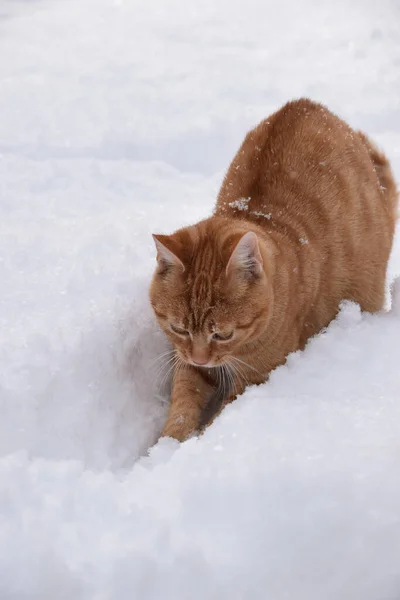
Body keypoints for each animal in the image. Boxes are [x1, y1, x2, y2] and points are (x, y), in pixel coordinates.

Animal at [149, 98, 396, 442]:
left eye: (223, 334)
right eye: (179, 329)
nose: (200, 357)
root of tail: (309, 104)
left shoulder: (255, 378)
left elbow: (218, 420)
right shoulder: (187, 362)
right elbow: (183, 403)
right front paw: (169, 444)